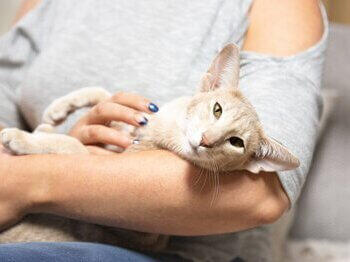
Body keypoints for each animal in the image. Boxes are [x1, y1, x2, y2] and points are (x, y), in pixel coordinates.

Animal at [0, 44, 300, 251]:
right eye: (217, 109)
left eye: (236, 142)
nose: (206, 140)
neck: (162, 129)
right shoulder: (130, 124)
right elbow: (103, 94)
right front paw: (56, 111)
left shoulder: (142, 229)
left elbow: (71, 145)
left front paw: (21, 137)